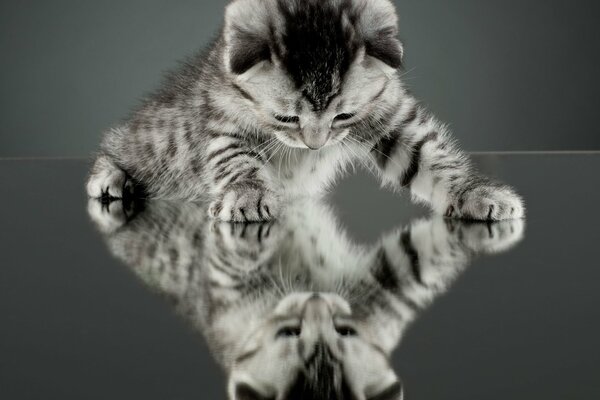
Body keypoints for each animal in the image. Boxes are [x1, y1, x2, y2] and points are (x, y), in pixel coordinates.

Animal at [86, 0, 525, 223]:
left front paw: (474, 192)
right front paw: (247, 194)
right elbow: (236, 160)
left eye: (342, 117)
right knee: (118, 142)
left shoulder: (391, 116)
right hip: (156, 141)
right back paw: (110, 174)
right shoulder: (221, 121)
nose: (315, 146)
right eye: (287, 119)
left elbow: (432, 157)